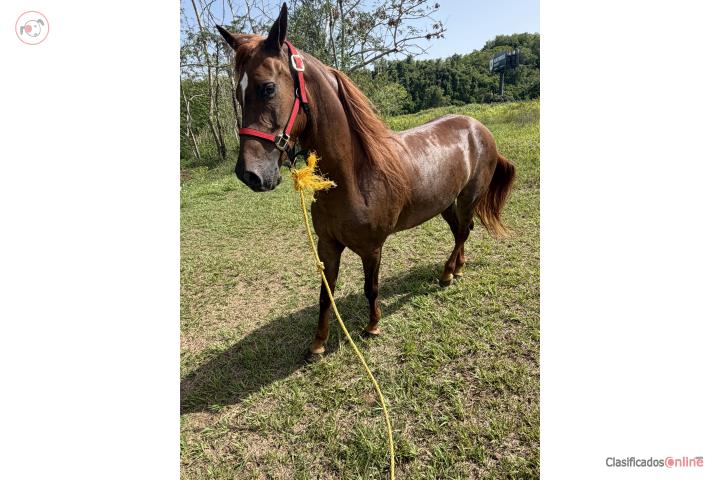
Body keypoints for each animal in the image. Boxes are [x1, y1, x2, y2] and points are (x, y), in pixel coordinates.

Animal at [216, 3, 515, 360]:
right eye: (238, 93)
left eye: (268, 88)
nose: (249, 173)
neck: (354, 177)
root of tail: (478, 127)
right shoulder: (327, 244)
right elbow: (325, 295)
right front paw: (318, 344)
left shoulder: (372, 248)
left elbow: (370, 288)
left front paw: (372, 326)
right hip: (445, 204)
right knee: (460, 232)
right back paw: (456, 268)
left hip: (469, 198)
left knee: (465, 231)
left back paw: (447, 273)